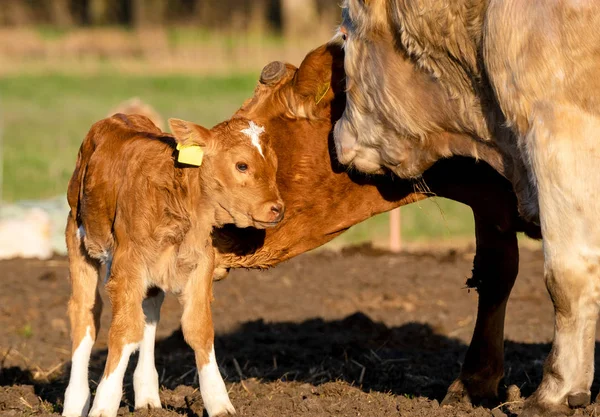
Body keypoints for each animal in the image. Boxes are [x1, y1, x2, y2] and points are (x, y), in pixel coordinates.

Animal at [62, 113, 284, 416]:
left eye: (274, 164)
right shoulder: (127, 264)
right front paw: (103, 405)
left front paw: (219, 402)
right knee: (85, 312)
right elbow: (124, 331)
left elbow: (199, 329)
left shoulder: (201, 261)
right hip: (78, 238)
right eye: (242, 165)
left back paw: (147, 397)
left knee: (148, 310)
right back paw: (75, 402)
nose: (277, 209)